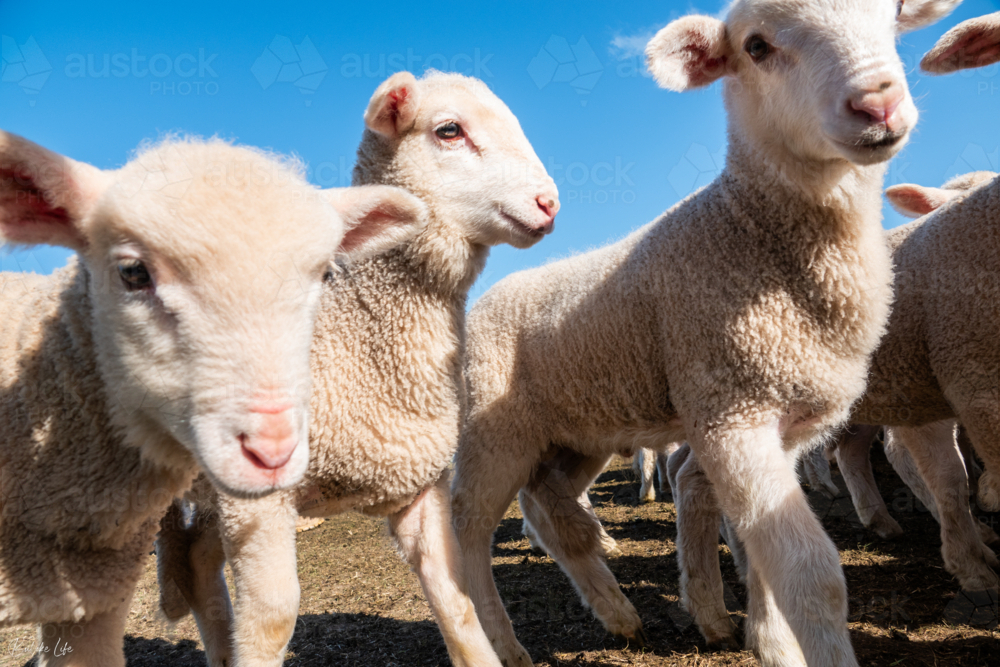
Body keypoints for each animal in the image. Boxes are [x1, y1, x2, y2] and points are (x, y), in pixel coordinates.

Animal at [154, 71, 560, 667]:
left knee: (195, 562)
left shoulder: (420, 483)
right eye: (449, 130)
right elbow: (271, 620)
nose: (549, 203)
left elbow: (455, 599)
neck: (353, 333)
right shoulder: (262, 503)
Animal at [450, 2, 962, 665]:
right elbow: (810, 575)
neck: (750, 230)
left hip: (574, 431)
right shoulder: (731, 412)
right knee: (467, 531)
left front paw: (763, 637)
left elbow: (760, 549)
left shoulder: (785, 427)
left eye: (893, 18)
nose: (877, 102)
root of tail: (489, 297)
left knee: (545, 504)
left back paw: (617, 612)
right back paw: (500, 642)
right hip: (491, 431)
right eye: (756, 46)